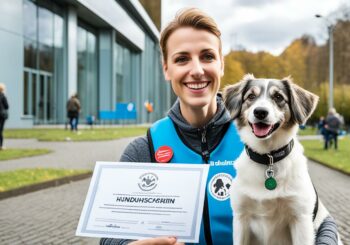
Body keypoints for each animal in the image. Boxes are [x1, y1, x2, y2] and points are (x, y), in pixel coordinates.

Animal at [223, 74, 340, 245]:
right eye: (251, 96)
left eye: (278, 97)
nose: (260, 112)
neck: (268, 159)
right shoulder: (240, 218)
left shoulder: (301, 219)